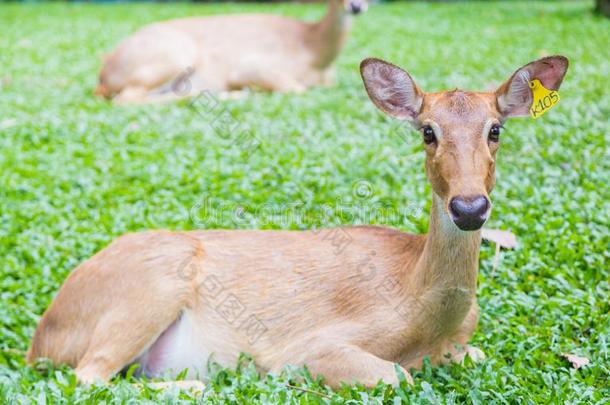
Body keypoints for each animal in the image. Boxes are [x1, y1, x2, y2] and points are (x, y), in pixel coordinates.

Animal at [30, 55, 568, 386]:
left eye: (495, 129)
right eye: (427, 131)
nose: (469, 207)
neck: (425, 316)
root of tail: (42, 338)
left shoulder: (465, 346)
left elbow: (476, 355)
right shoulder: (306, 346)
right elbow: (395, 376)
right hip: (150, 286)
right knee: (88, 376)